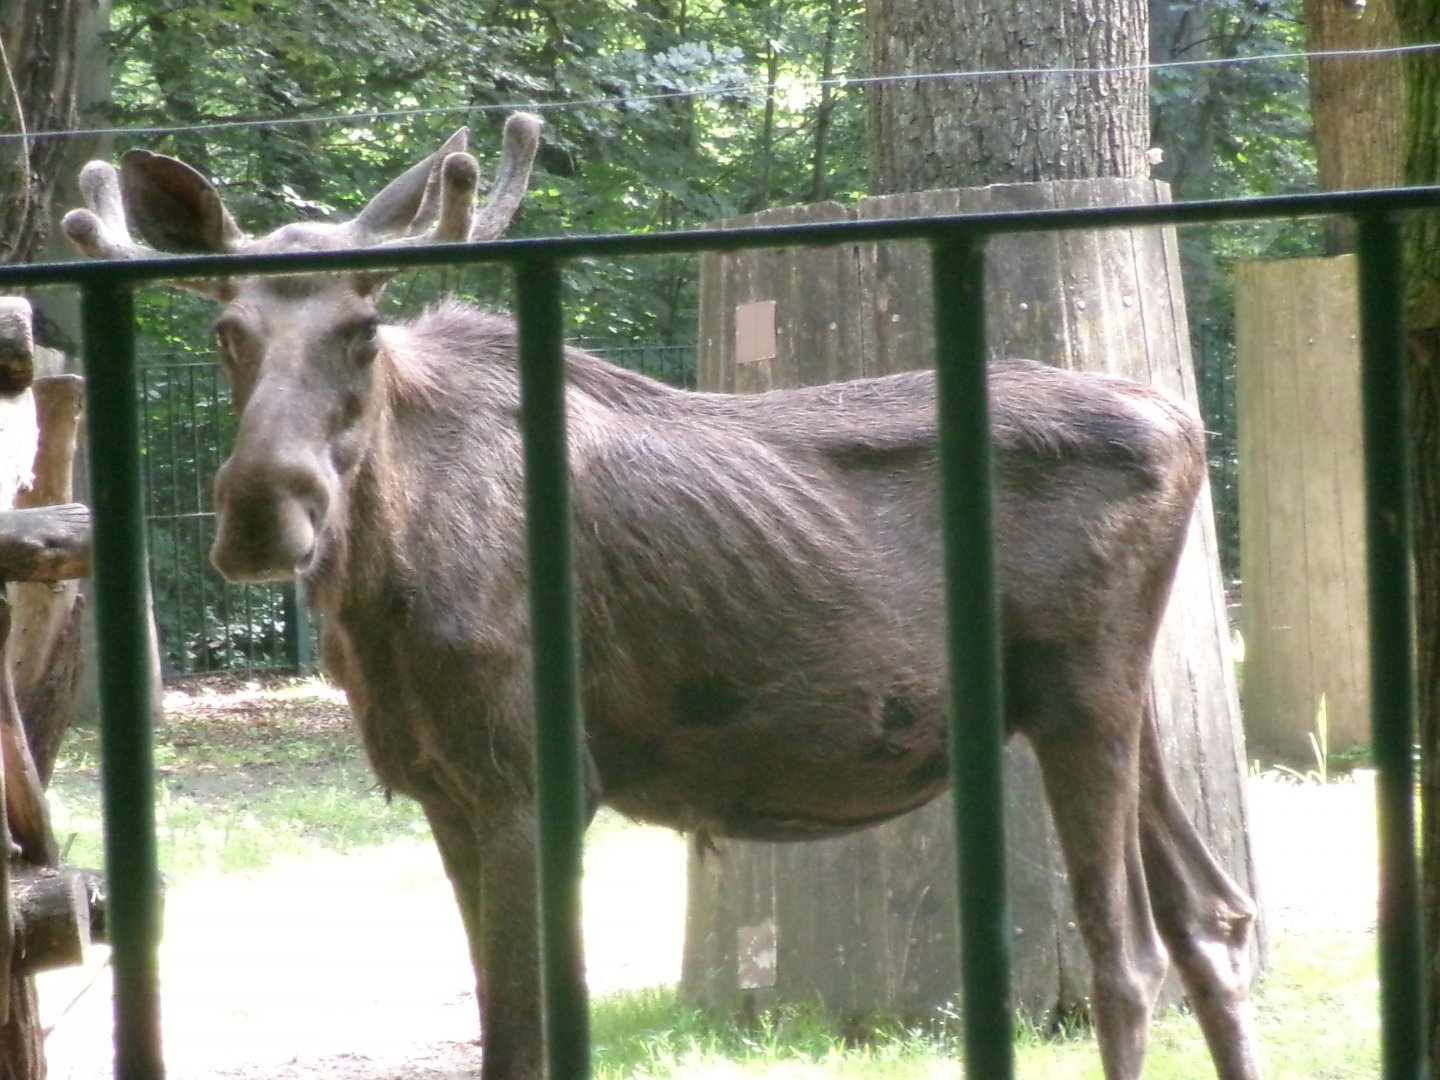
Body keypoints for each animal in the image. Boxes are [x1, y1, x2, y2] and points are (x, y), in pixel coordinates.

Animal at [63, 114, 1261, 1080]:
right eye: (227, 334)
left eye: (361, 330)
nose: (262, 515)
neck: (378, 599)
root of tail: (1189, 427)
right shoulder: (444, 788)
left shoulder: (529, 778)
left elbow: (524, 1038)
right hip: (1116, 698)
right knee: (1214, 918)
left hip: (1084, 700)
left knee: (1128, 954)